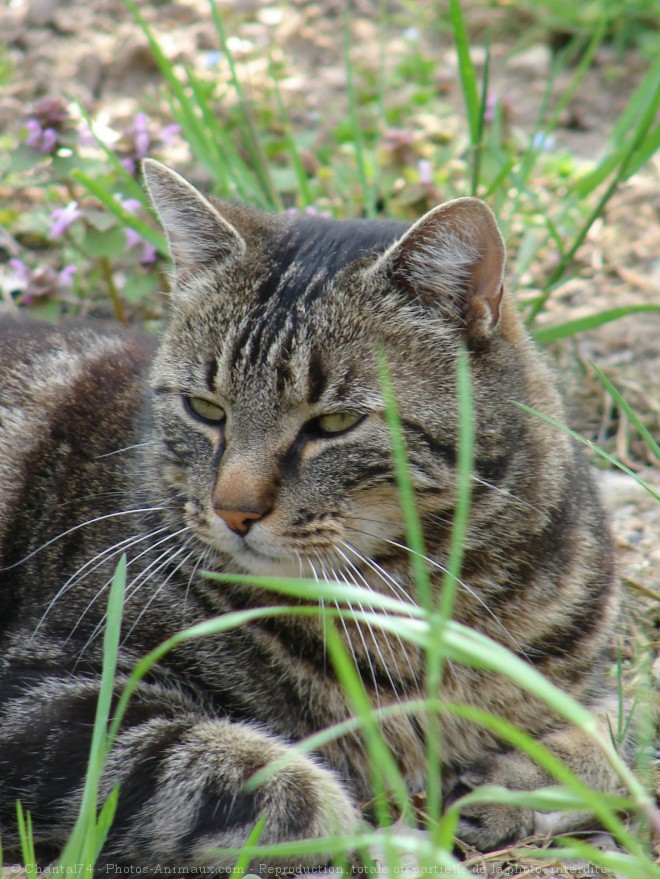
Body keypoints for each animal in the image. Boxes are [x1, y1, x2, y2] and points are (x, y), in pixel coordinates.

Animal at [0, 160, 628, 872]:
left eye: (334, 423)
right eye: (204, 409)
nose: (233, 509)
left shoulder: (594, 685)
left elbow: (612, 750)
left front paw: (505, 786)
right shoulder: (46, 695)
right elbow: (288, 790)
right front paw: (393, 840)